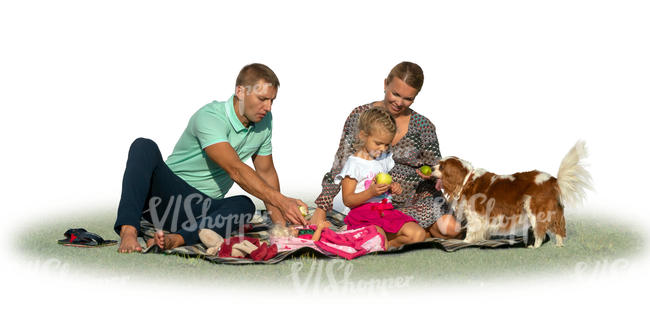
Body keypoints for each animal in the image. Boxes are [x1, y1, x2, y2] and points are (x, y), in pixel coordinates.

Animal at [432, 140, 588, 248]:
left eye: (441, 167)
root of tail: (553, 180)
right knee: (559, 229)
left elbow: (471, 231)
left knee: (540, 231)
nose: (431, 168)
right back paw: (559, 245)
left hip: (535, 211)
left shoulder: (475, 216)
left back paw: (534, 247)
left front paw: (465, 242)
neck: (467, 179)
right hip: (554, 211)